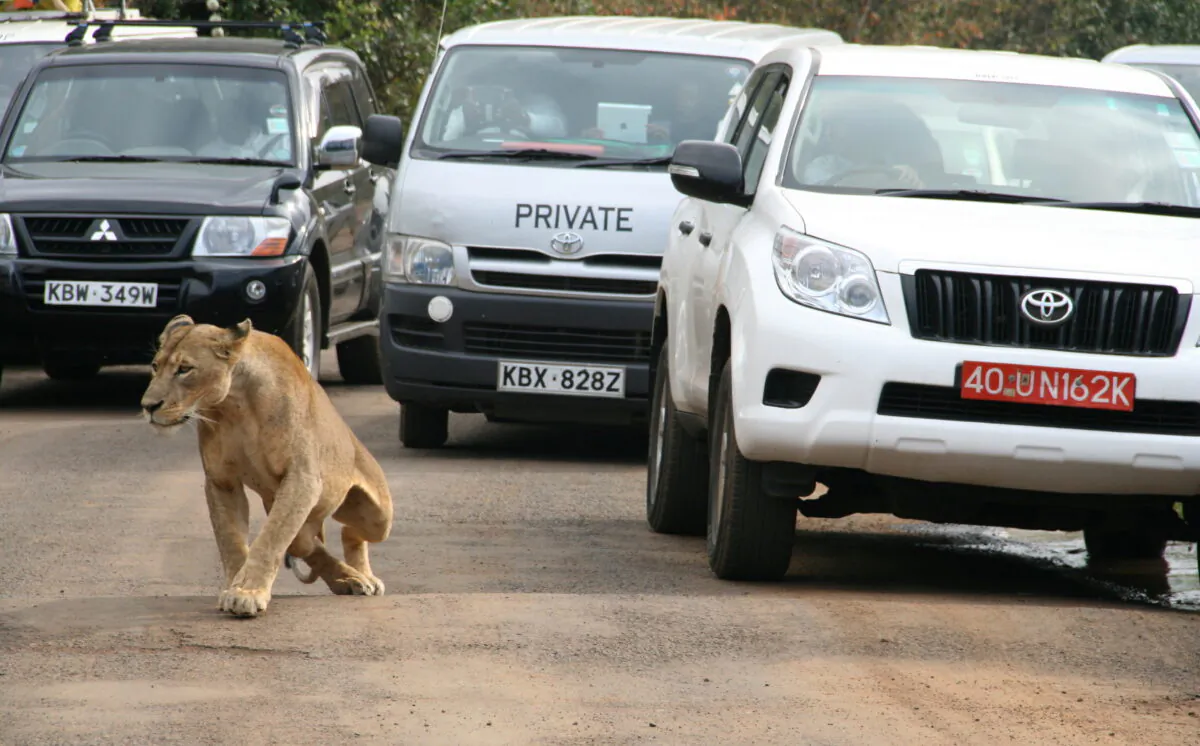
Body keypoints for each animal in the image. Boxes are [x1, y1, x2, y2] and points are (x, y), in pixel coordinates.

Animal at [139, 314, 394, 618]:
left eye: (185, 369)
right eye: (155, 366)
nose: (148, 406)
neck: (234, 404)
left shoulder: (302, 478)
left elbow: (270, 538)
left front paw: (247, 593)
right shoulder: (221, 480)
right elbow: (231, 540)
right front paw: (234, 586)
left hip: (378, 516)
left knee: (349, 533)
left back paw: (363, 577)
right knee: (307, 542)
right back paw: (349, 578)